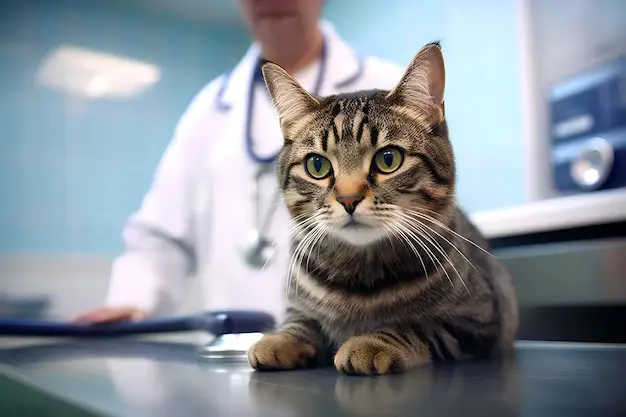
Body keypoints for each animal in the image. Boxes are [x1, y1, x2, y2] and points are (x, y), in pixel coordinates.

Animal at [246, 42, 516, 374]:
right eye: (317, 165)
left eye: (389, 159)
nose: (348, 199)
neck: (359, 276)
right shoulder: (298, 307)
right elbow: (300, 320)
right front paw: (281, 339)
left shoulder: (477, 319)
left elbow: (417, 326)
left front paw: (372, 343)